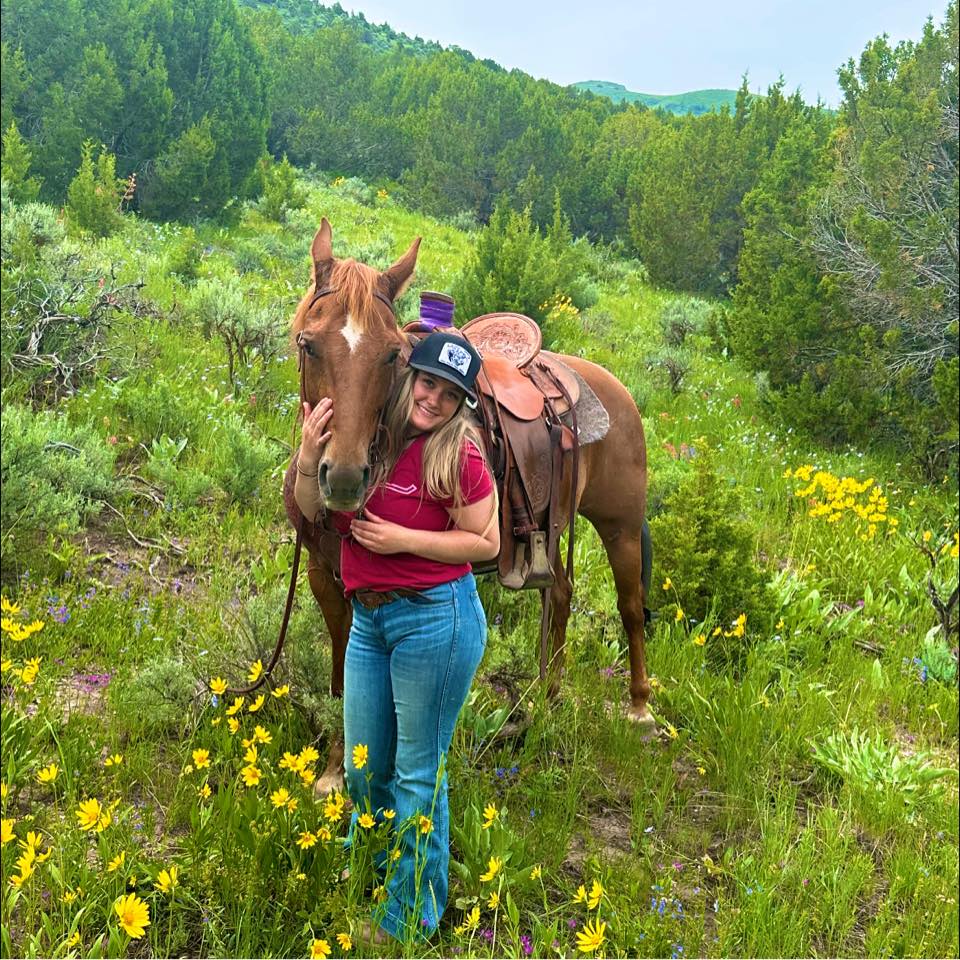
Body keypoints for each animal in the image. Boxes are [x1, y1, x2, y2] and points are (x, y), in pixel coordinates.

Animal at [286, 219, 652, 796]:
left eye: (391, 354)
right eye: (309, 343)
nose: (343, 478)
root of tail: (611, 386)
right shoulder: (324, 576)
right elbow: (343, 667)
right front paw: (334, 770)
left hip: (621, 526)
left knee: (631, 606)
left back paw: (640, 710)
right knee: (562, 595)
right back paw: (547, 700)